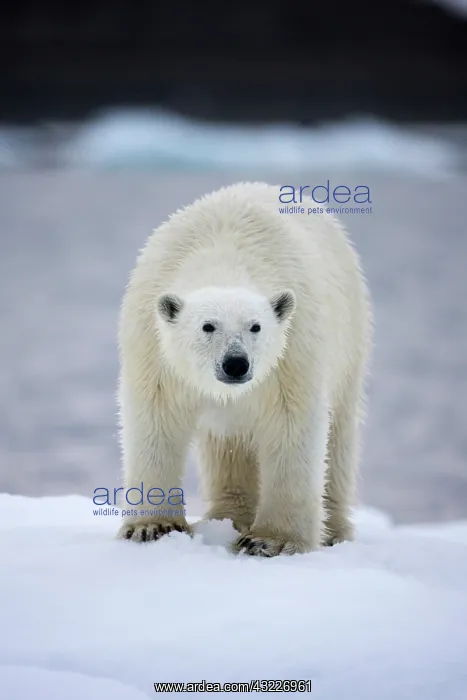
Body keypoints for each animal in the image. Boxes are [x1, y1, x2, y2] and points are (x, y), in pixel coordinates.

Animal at [116, 182, 372, 556]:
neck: (223, 254)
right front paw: (151, 527)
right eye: (208, 326)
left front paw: (270, 540)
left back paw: (334, 531)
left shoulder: (293, 352)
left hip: (350, 339)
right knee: (229, 447)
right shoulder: (155, 350)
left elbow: (291, 425)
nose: (236, 364)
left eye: (256, 327)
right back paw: (226, 518)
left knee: (339, 437)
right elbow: (155, 420)